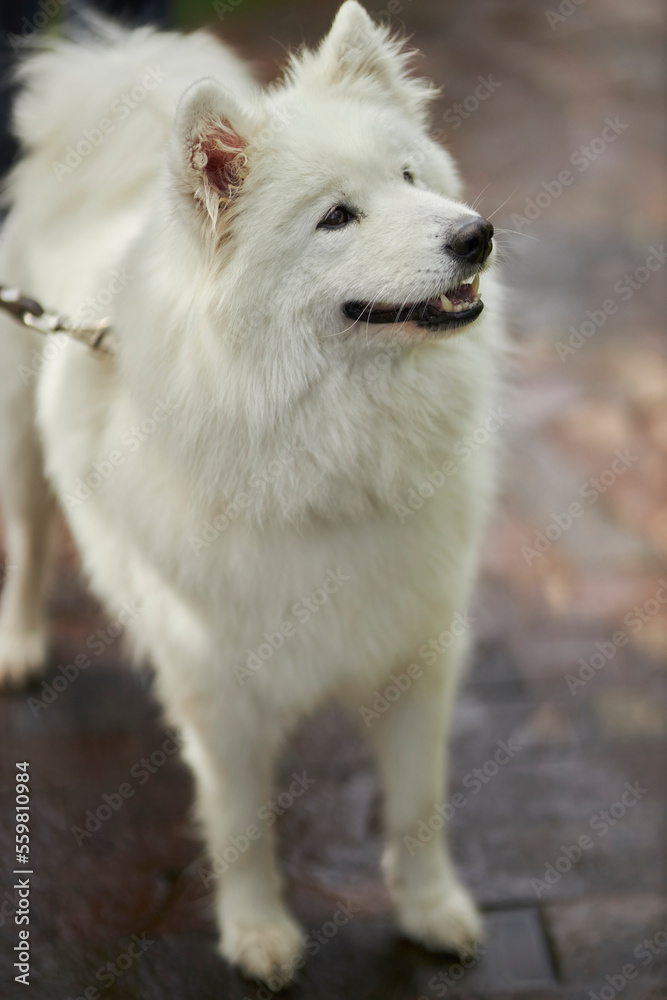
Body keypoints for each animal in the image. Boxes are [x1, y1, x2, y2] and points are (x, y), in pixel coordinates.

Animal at [0, 0, 500, 984]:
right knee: (30, 541)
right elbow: (241, 829)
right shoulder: (216, 687)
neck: (329, 443)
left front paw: (432, 910)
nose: (474, 234)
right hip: (17, 438)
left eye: (410, 177)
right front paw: (258, 932)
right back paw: (21, 643)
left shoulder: (415, 654)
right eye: (336, 217)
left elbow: (417, 806)